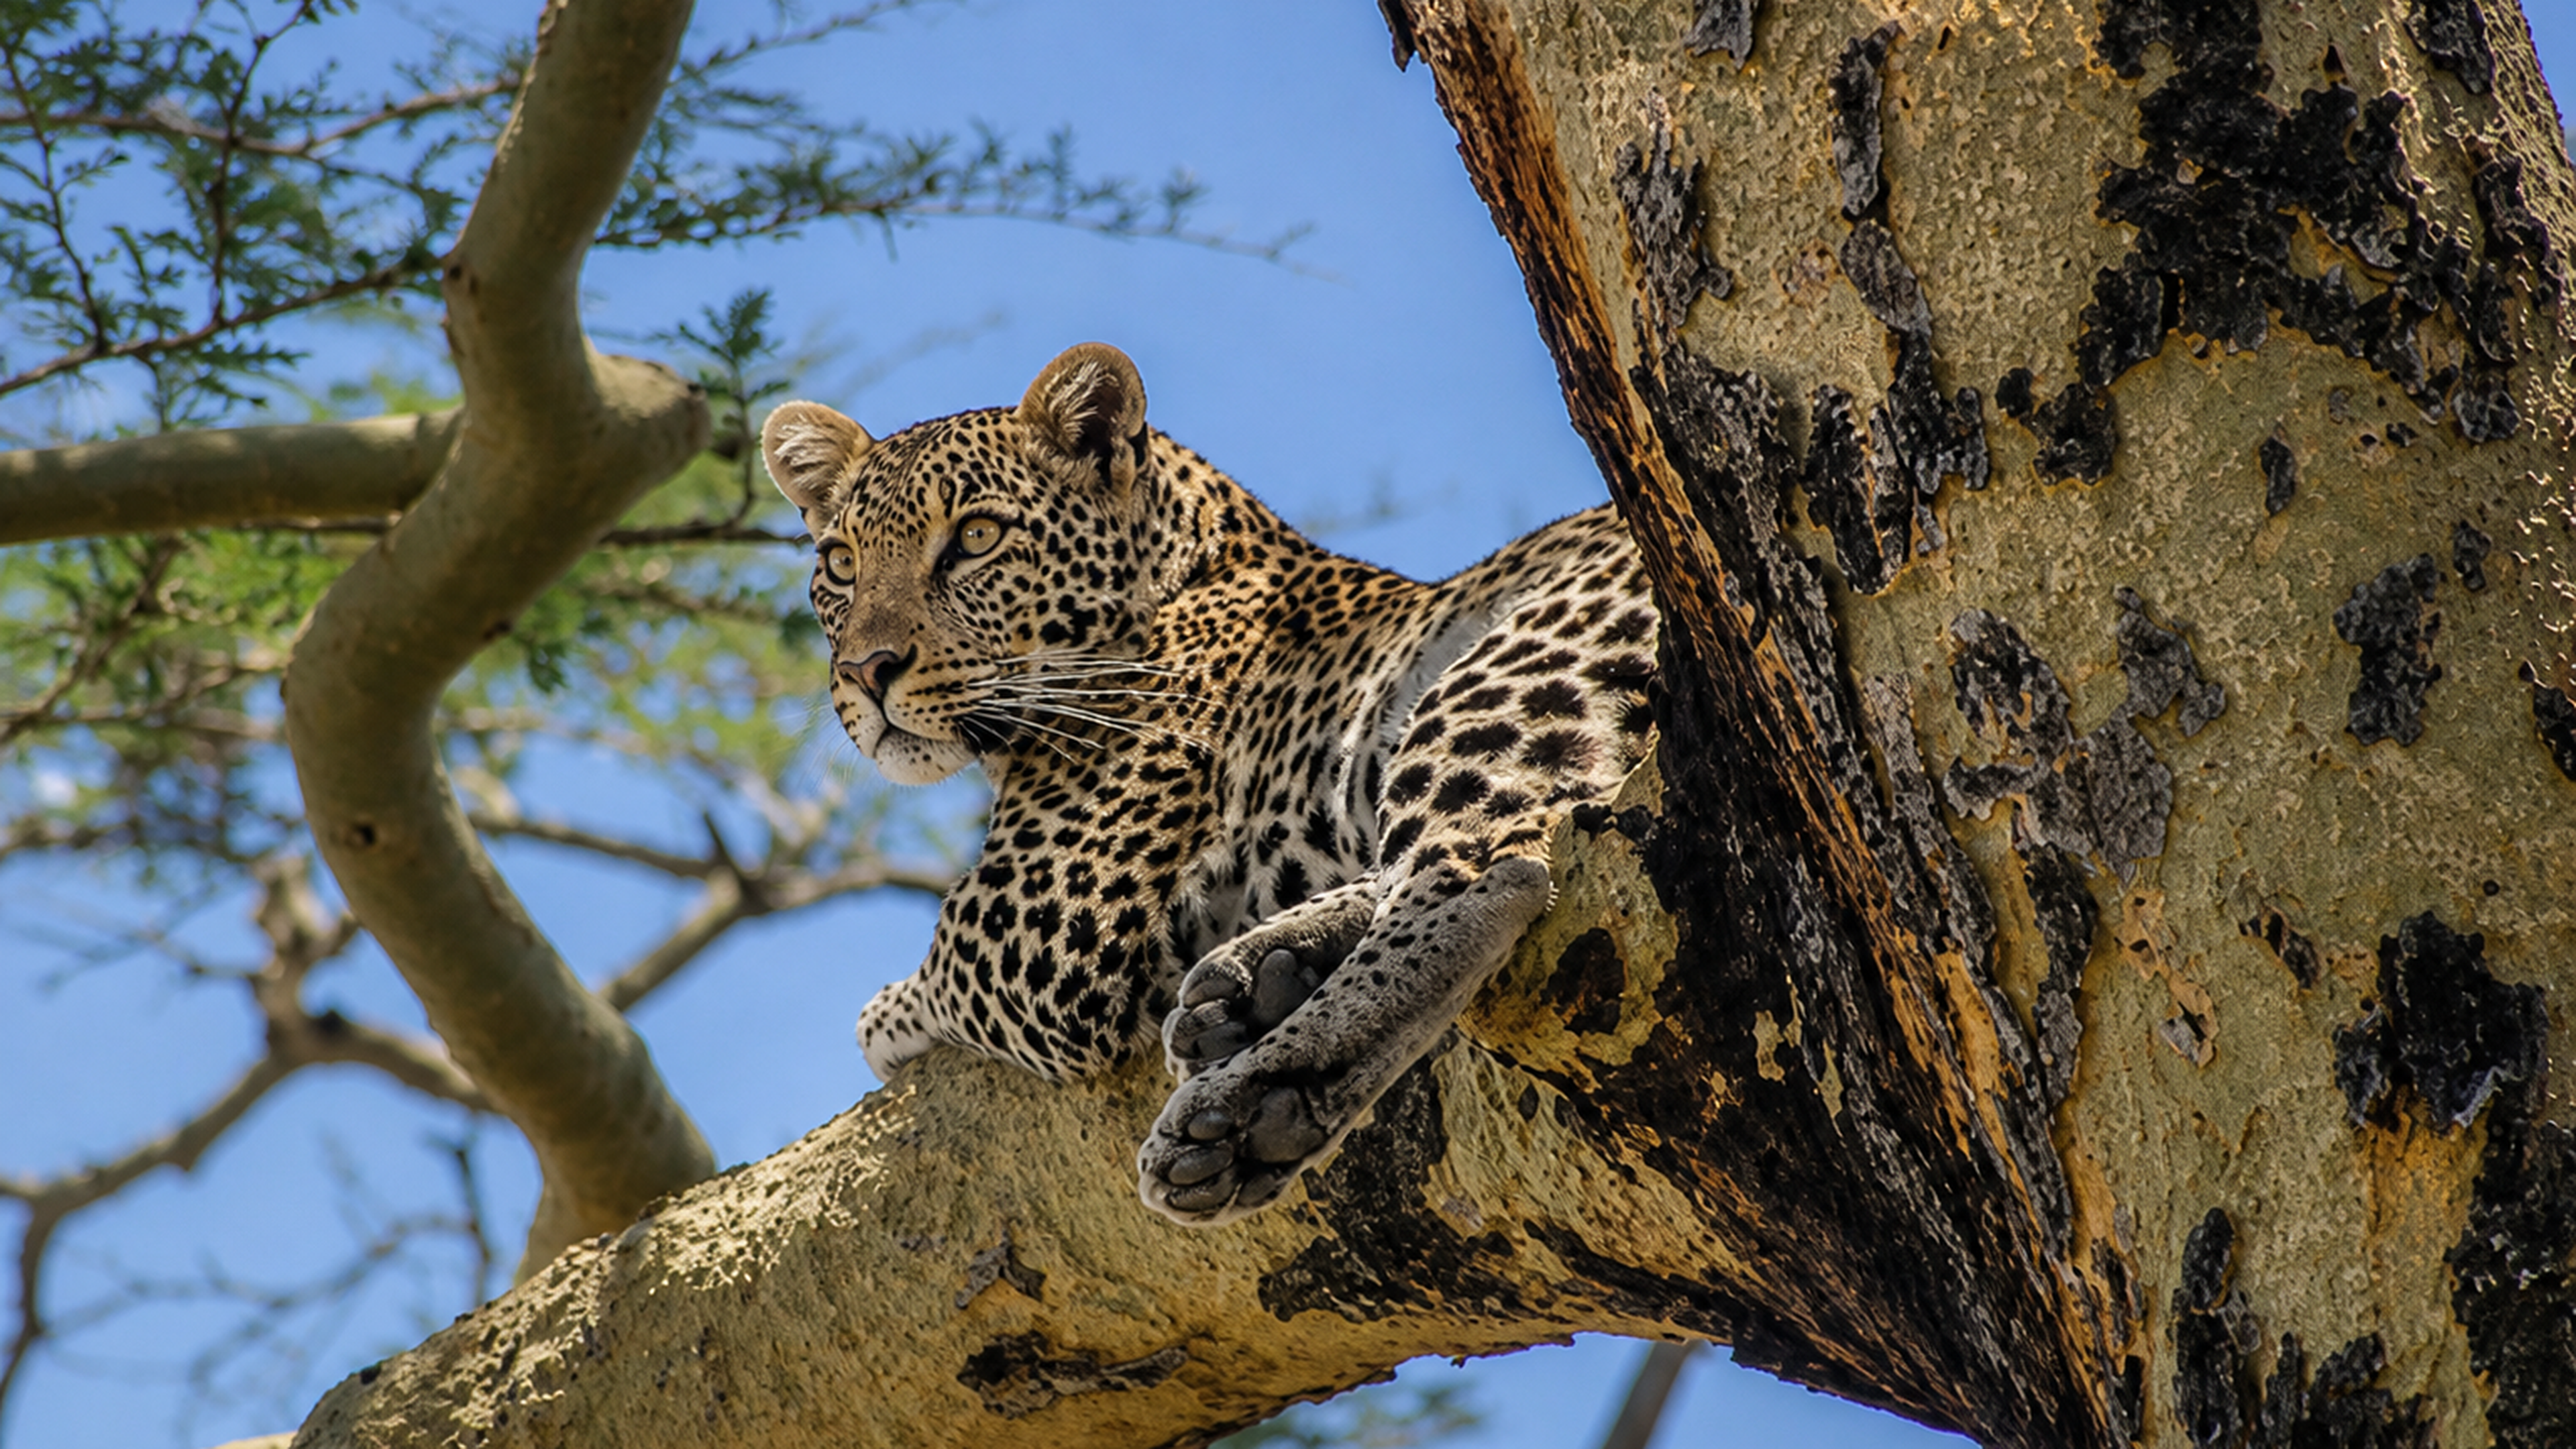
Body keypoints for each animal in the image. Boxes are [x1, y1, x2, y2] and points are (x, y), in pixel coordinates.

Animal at [762, 343, 1659, 1225]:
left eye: (977, 538)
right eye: (840, 563)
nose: (866, 670)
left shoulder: (1043, 918)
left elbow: (930, 972)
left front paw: (885, 1017)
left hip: (1505, 665)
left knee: (1484, 872)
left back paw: (1253, 1106)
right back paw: (1257, 976)